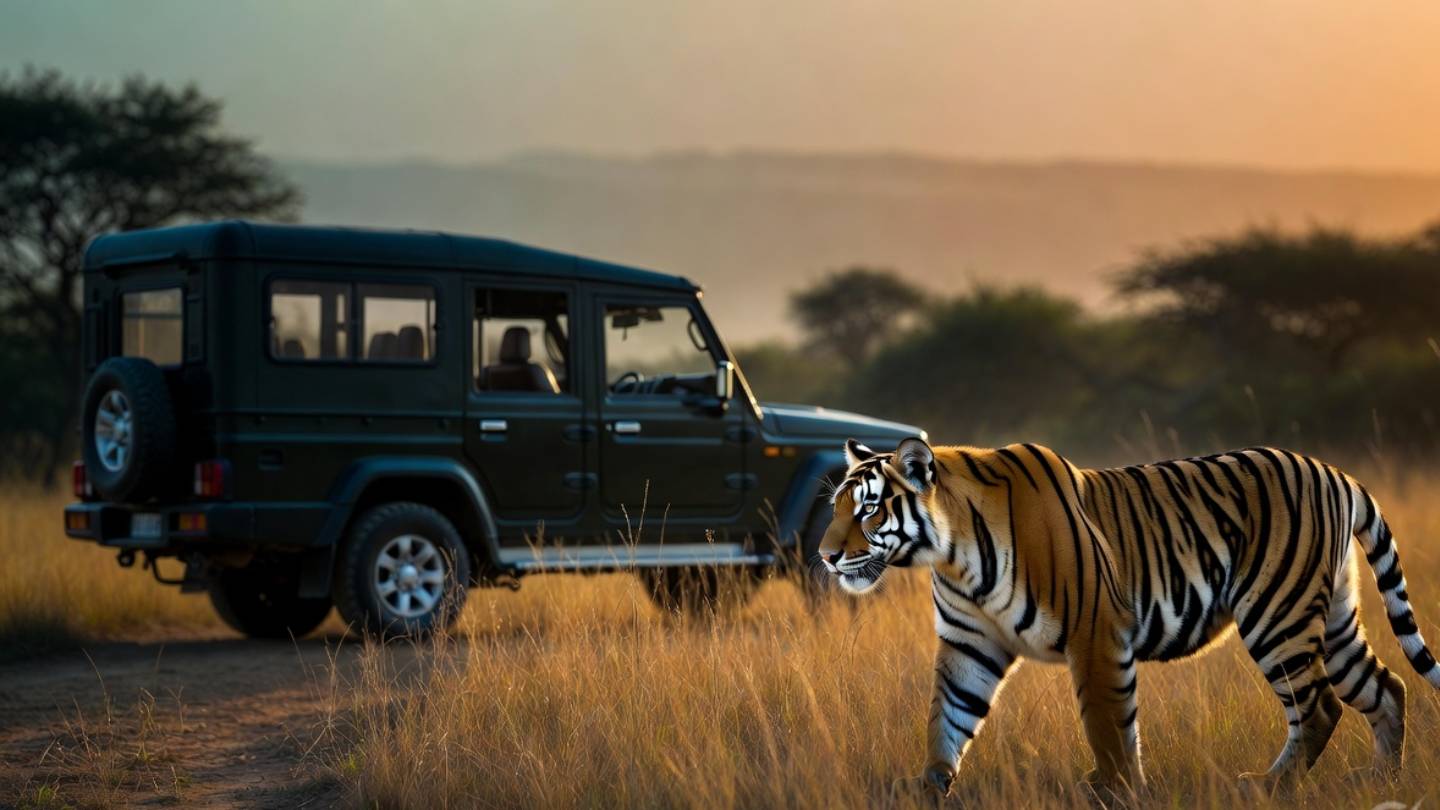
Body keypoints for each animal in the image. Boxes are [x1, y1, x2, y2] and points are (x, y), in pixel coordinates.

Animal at [818, 437, 1440, 799]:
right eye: (835, 507)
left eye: (869, 508)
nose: (825, 555)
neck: (952, 553)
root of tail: (1334, 470)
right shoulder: (970, 645)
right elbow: (946, 717)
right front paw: (927, 784)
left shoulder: (1096, 632)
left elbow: (1109, 724)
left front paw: (1116, 790)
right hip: (1331, 617)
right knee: (1386, 687)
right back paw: (1381, 782)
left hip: (1276, 614)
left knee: (1320, 706)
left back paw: (1269, 787)